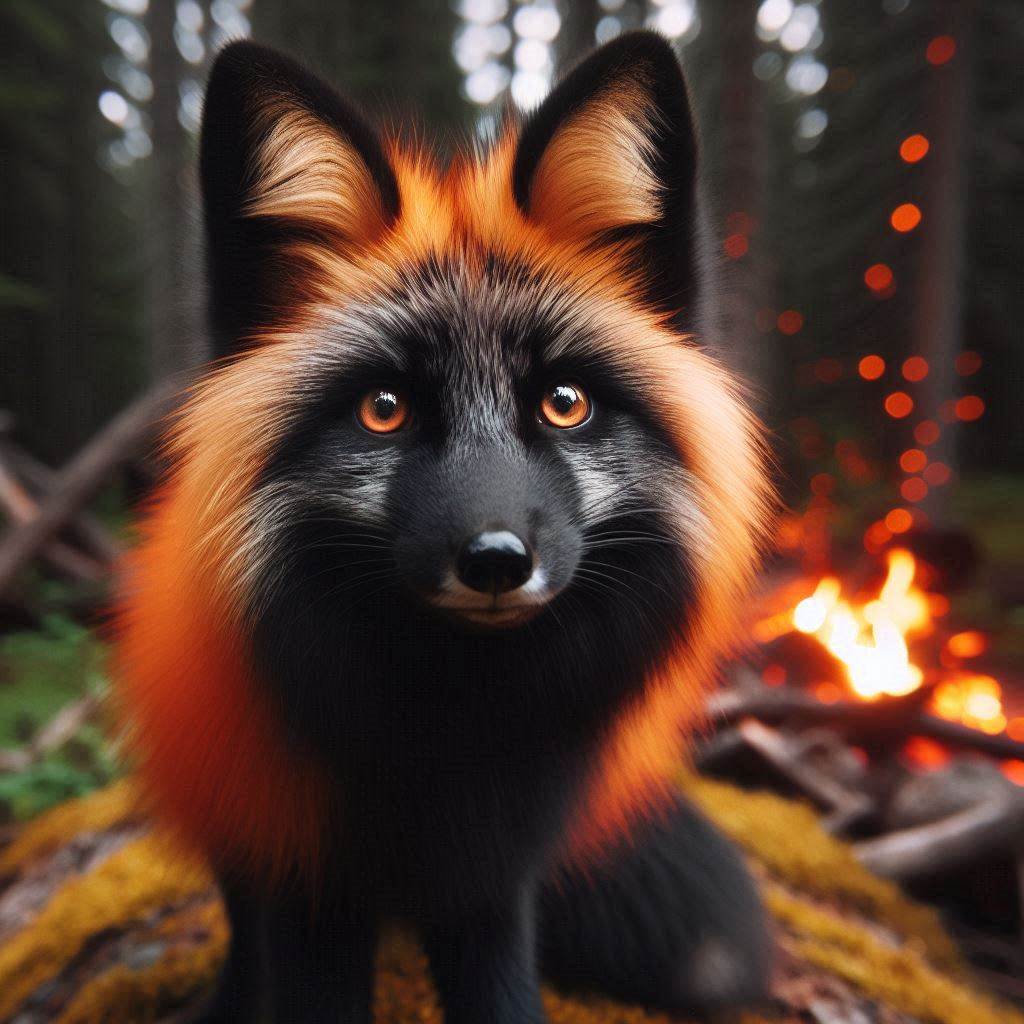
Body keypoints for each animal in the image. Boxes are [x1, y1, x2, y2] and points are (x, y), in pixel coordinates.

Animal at [115, 30, 774, 1024]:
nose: (496, 560)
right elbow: (294, 972)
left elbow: (501, 991)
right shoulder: (309, 873)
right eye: (383, 410)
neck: (449, 730)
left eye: (565, 403)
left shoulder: (493, 874)